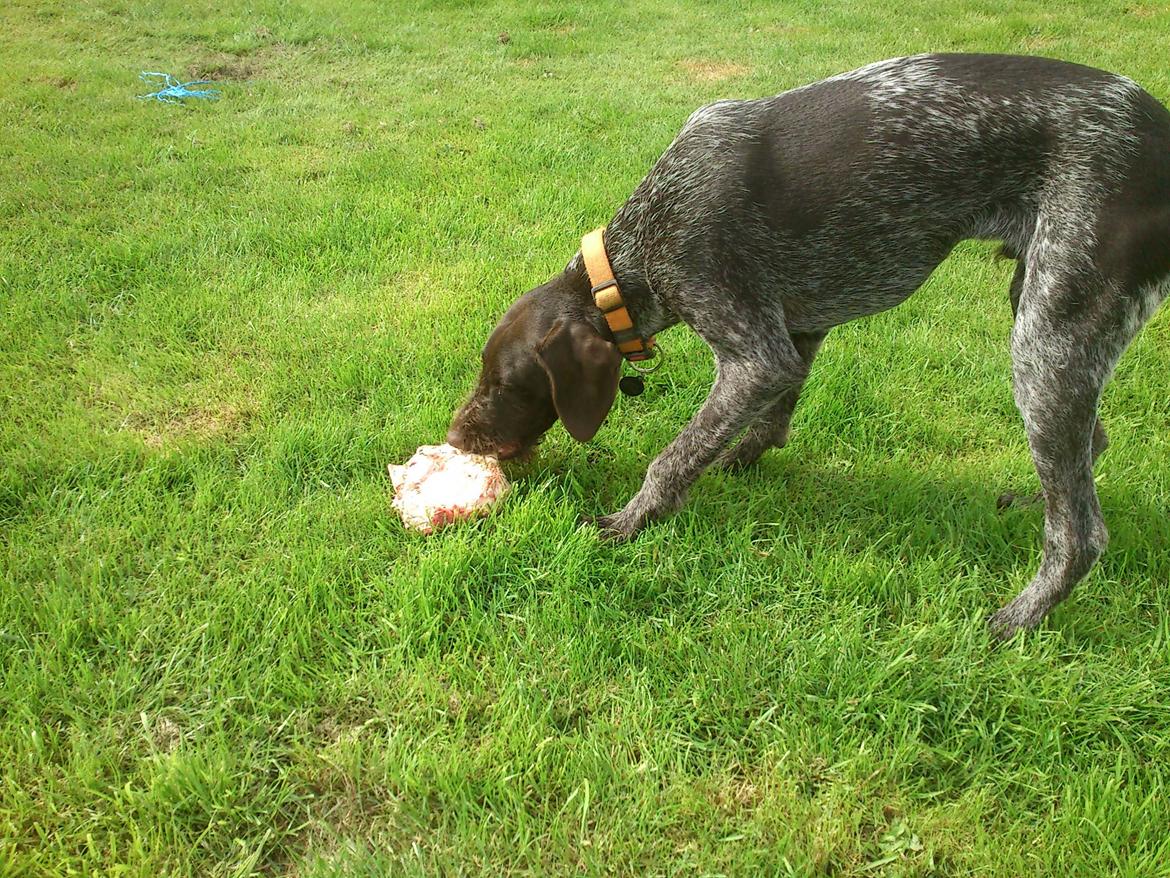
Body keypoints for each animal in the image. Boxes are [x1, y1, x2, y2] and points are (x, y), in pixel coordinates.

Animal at [446, 51, 1170, 636]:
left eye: (505, 384)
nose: (456, 438)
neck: (627, 259)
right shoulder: (796, 328)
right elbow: (772, 418)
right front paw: (740, 459)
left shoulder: (752, 351)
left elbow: (675, 456)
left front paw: (630, 521)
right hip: (1043, 310)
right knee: (1086, 455)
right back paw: (1029, 503)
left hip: (1047, 339)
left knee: (1081, 532)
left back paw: (1017, 619)